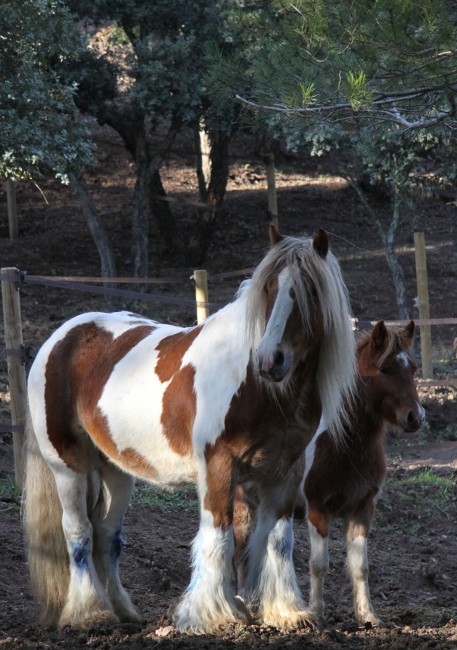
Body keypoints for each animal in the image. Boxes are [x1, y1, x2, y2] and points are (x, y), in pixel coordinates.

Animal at [23, 225, 354, 632]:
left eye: (310, 291)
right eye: (268, 288)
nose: (269, 359)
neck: (258, 387)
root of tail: (59, 338)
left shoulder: (285, 473)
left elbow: (278, 541)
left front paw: (285, 611)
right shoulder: (219, 466)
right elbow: (219, 537)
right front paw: (212, 614)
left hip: (116, 471)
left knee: (106, 535)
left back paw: (123, 611)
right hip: (68, 467)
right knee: (79, 533)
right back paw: (91, 614)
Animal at [300, 322, 424, 624]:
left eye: (414, 369)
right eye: (384, 369)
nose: (416, 417)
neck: (341, 441)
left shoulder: (362, 508)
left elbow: (360, 567)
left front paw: (367, 615)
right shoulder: (317, 508)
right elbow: (319, 564)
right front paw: (316, 614)